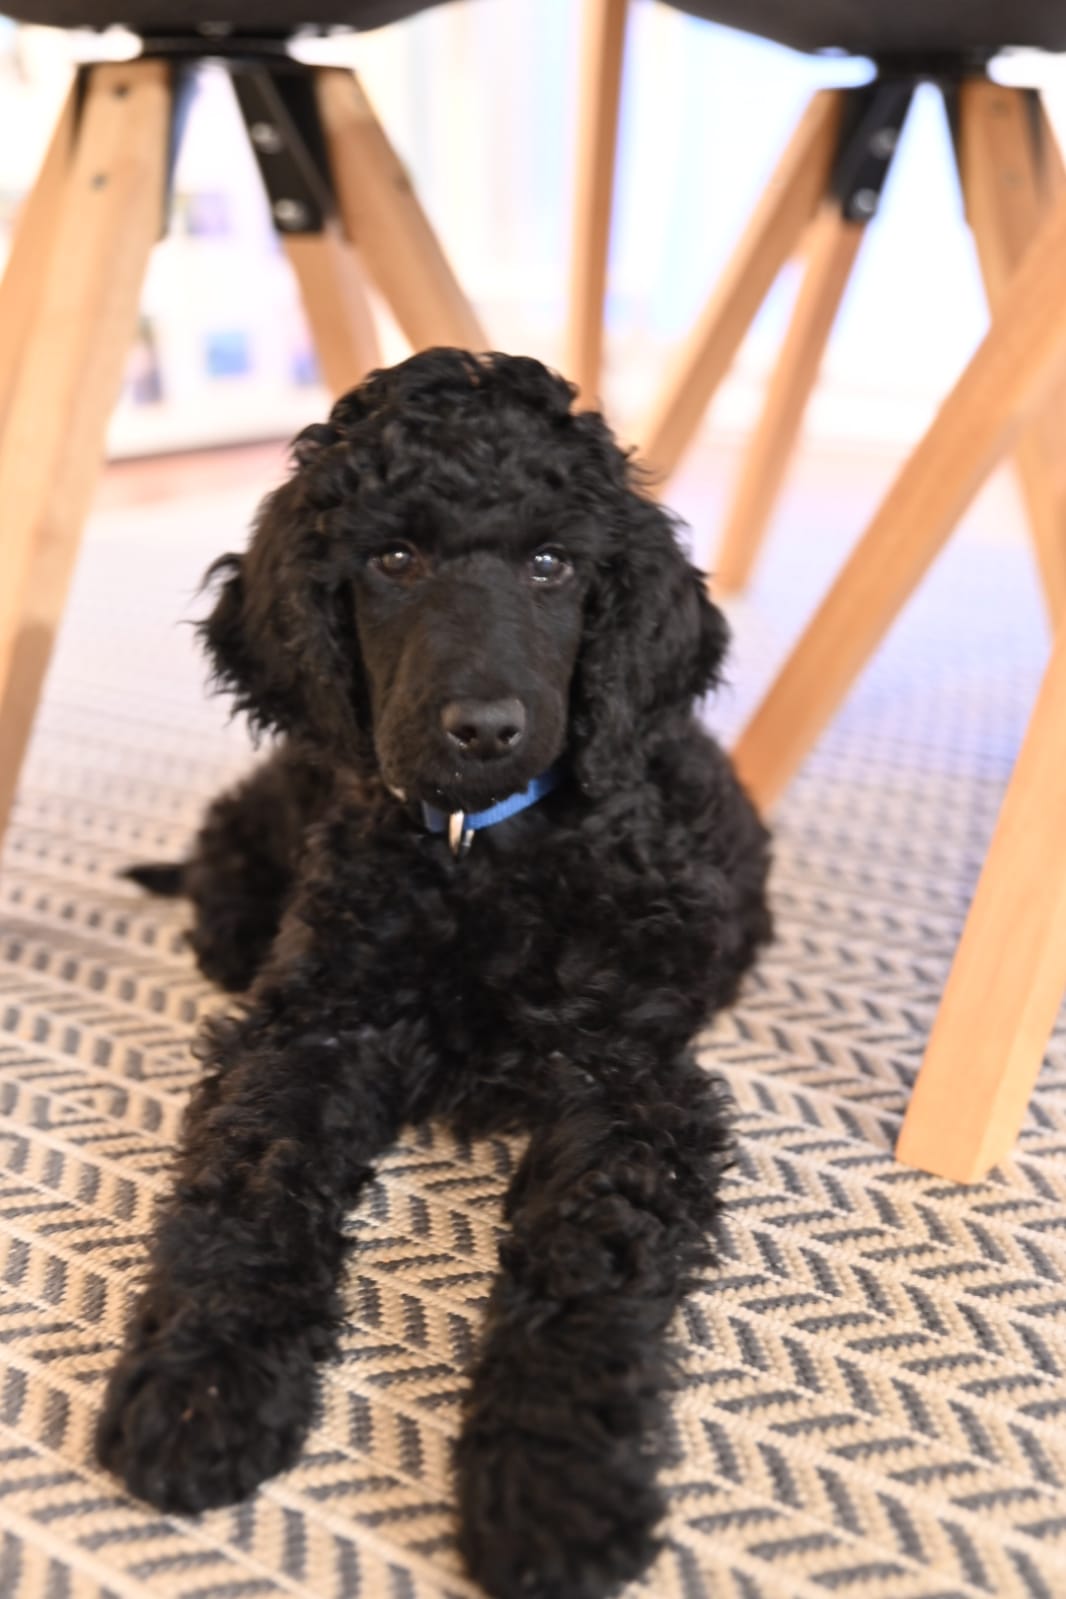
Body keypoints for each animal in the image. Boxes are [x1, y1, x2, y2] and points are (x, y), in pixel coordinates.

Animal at [97, 349, 772, 1599]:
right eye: (392, 560)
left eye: (554, 564)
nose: (484, 729)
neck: (478, 847)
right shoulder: (314, 1025)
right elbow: (247, 1193)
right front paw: (199, 1389)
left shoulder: (628, 1074)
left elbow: (590, 1260)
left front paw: (551, 1487)